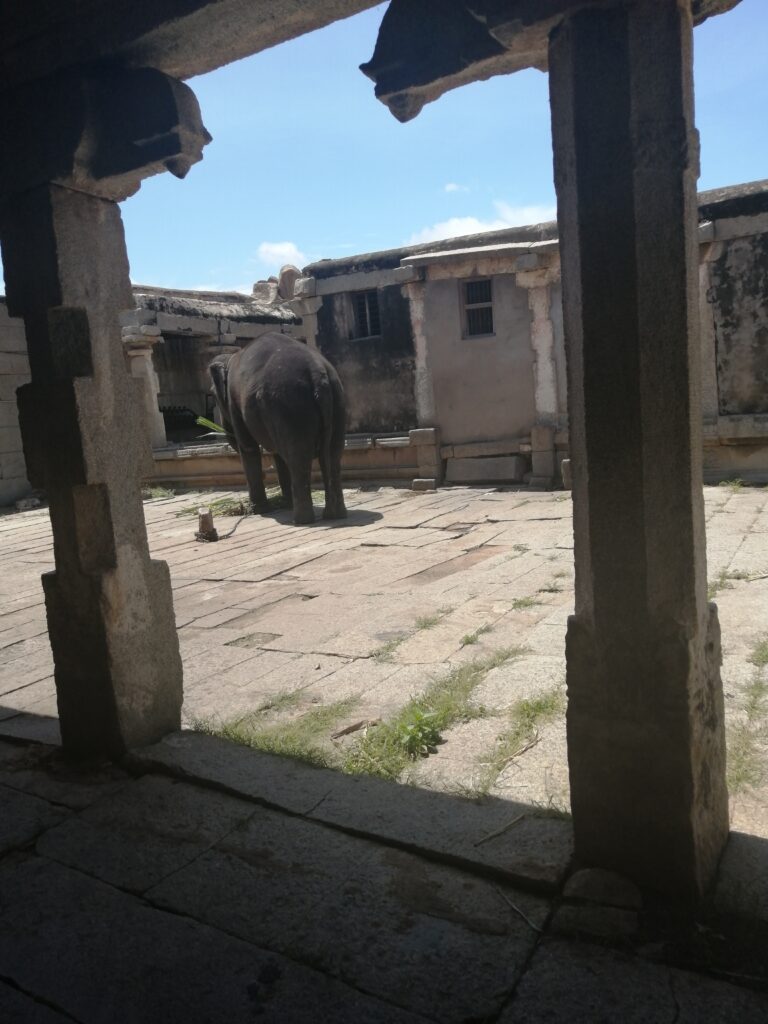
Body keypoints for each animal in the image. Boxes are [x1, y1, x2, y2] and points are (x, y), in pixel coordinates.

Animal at [207, 333, 346, 528]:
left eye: (212, 394)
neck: (232, 357)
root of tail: (318, 374)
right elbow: (278, 455)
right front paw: (283, 503)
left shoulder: (235, 404)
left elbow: (248, 448)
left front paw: (259, 510)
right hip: (336, 401)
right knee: (333, 455)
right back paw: (334, 515)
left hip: (290, 405)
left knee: (298, 458)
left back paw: (300, 520)